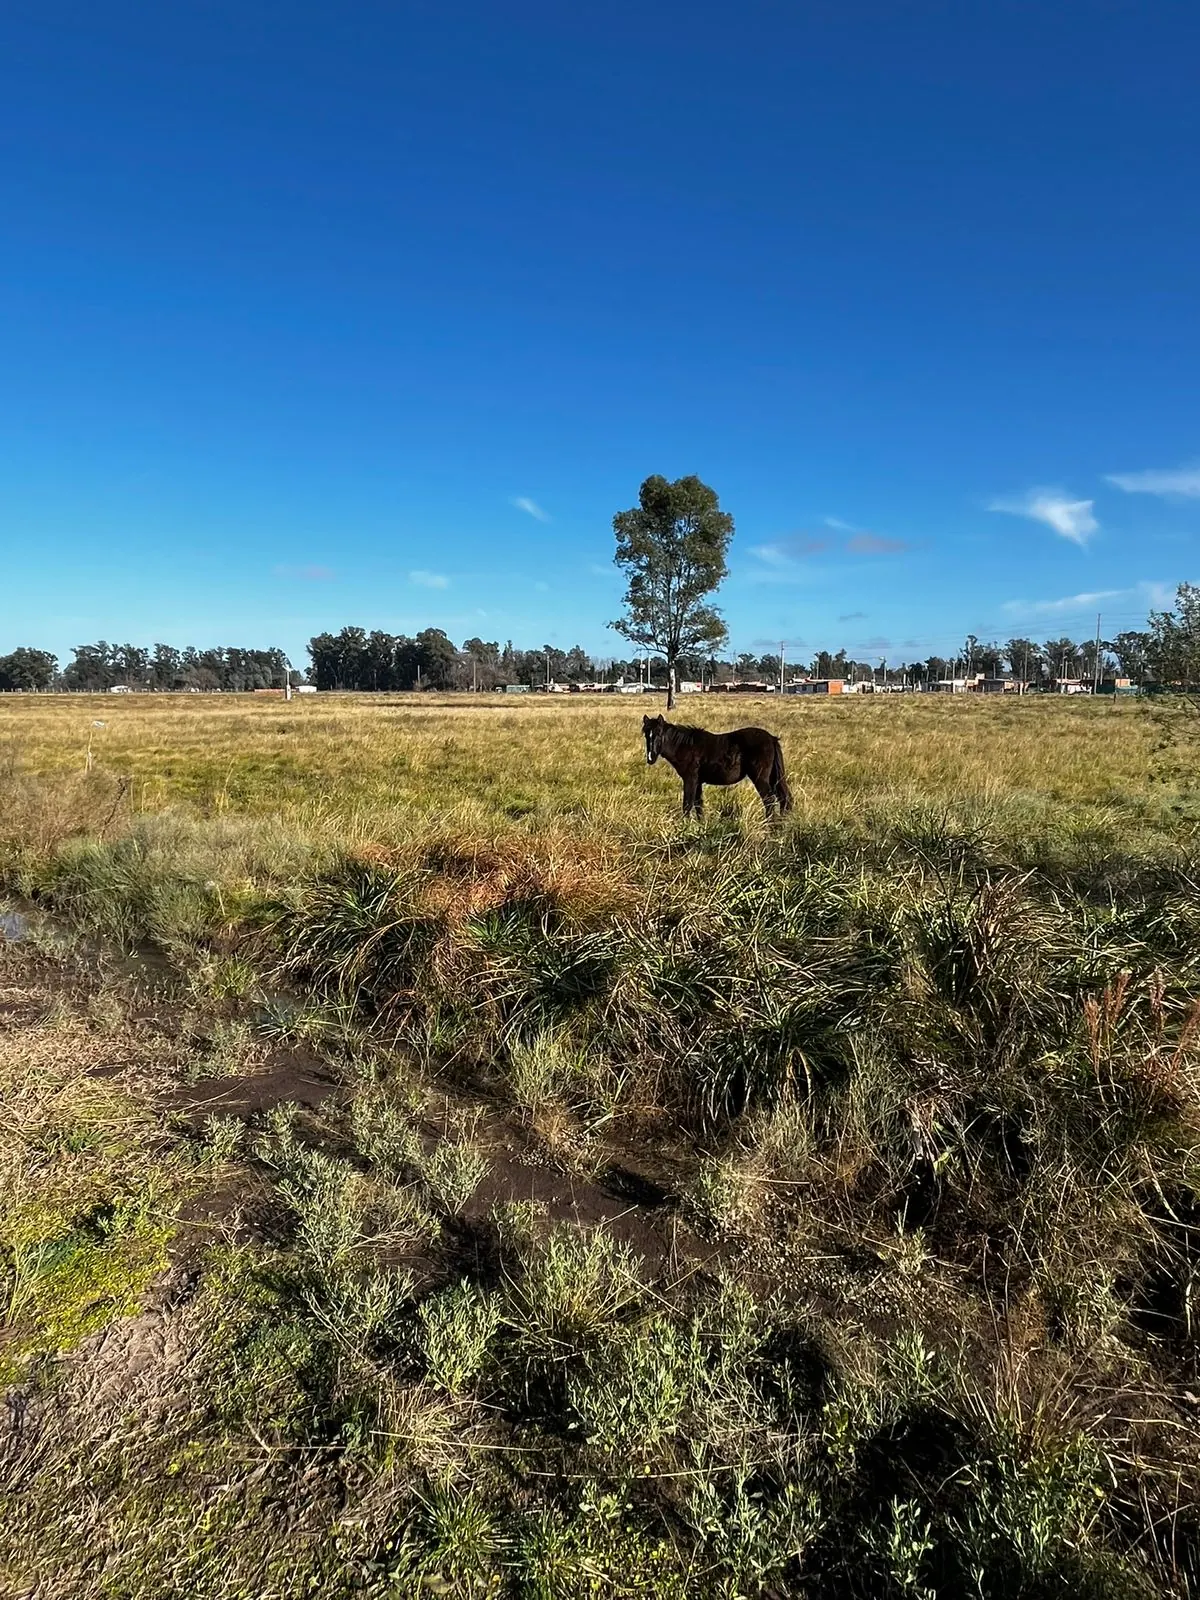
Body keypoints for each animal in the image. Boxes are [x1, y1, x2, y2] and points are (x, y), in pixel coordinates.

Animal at [642, 714, 793, 819]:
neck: (686, 746)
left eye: (659, 733)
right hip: (773, 778)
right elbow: (698, 805)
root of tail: (771, 738)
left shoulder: (690, 779)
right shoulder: (698, 782)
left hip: (760, 778)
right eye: (646, 735)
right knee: (784, 798)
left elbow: (687, 804)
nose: (650, 758)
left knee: (769, 800)